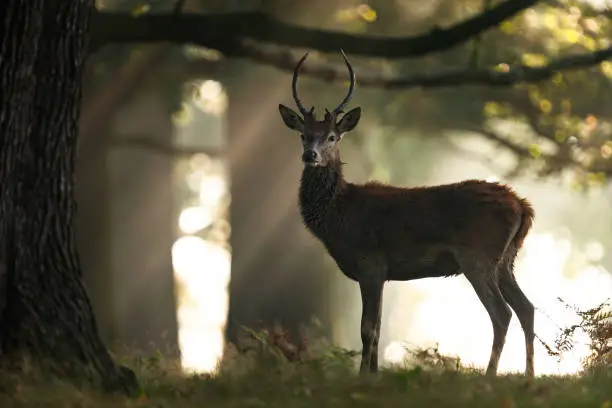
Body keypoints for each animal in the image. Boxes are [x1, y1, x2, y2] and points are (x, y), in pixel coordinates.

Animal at [278, 49, 536, 378]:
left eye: (332, 136)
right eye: (303, 134)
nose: (310, 155)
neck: (339, 218)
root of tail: (523, 206)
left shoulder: (371, 263)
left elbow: (367, 328)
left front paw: (363, 377)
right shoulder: (381, 272)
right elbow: (376, 327)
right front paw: (374, 374)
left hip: (478, 255)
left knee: (502, 313)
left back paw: (489, 375)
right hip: (506, 259)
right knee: (526, 308)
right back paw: (528, 374)